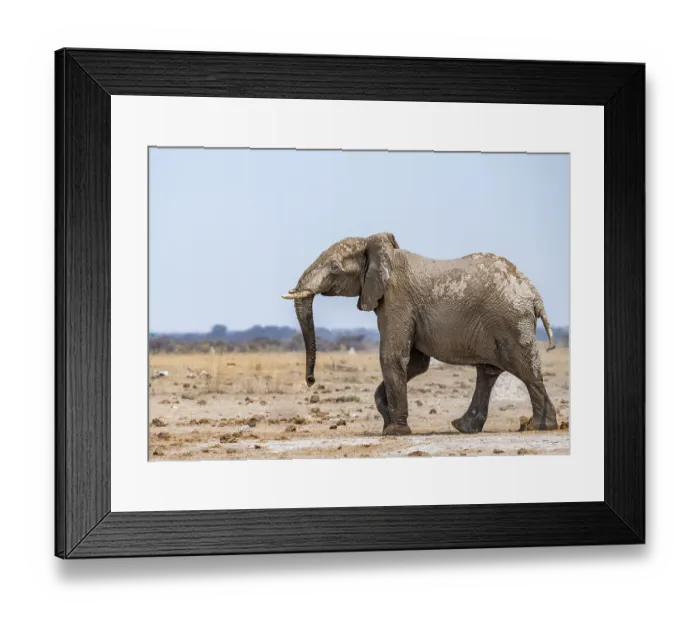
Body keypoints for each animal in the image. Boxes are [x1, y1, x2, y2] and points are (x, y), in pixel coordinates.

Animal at [282, 233, 558, 437]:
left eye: (335, 267)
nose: (310, 381)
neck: (376, 246)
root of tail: (534, 294)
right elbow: (415, 363)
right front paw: (388, 422)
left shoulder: (397, 301)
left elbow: (393, 357)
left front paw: (395, 432)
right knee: (489, 372)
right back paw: (465, 427)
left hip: (510, 320)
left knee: (525, 369)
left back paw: (538, 427)